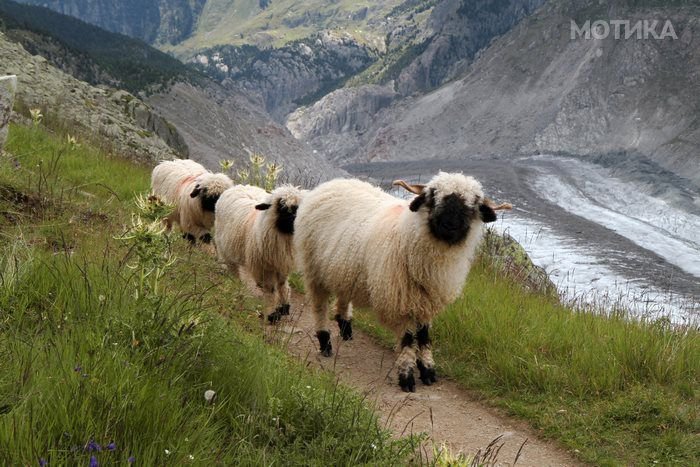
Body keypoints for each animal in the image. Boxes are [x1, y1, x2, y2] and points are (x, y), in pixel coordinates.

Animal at [215, 185, 304, 324]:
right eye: (282, 207)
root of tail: (236, 186)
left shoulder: (282, 264)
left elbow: (282, 285)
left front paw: (284, 308)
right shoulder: (264, 268)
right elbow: (270, 289)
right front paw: (272, 313)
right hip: (224, 246)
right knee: (232, 269)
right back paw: (235, 286)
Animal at [292, 174, 512, 394]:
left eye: (473, 204)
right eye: (433, 196)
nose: (449, 225)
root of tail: (330, 184)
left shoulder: (426, 302)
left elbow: (424, 337)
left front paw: (428, 370)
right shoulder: (399, 301)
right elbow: (407, 340)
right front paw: (407, 376)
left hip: (343, 269)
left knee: (343, 295)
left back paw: (346, 328)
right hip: (314, 270)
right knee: (319, 307)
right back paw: (325, 342)